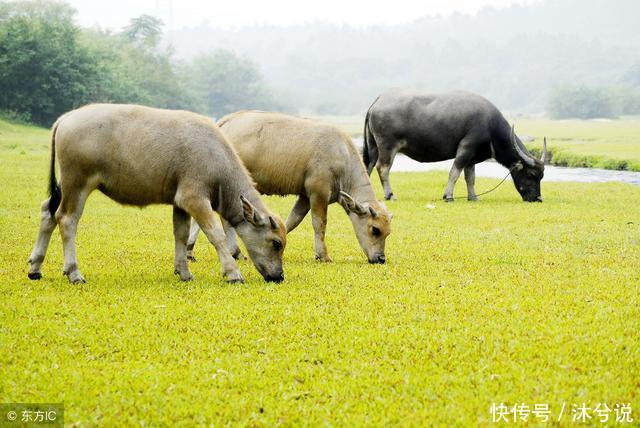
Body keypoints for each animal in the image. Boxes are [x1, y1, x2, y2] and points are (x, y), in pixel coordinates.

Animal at [27, 103, 286, 284]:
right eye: (276, 243)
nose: (279, 276)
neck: (216, 157)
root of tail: (66, 118)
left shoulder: (180, 203)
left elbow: (180, 234)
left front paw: (184, 272)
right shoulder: (194, 199)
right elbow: (216, 235)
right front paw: (233, 273)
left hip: (65, 185)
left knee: (48, 212)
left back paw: (35, 268)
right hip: (77, 183)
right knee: (67, 220)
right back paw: (74, 273)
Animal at [188, 110, 392, 264]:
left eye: (388, 233)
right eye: (375, 230)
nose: (381, 258)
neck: (341, 155)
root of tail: (225, 122)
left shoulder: (305, 197)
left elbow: (292, 221)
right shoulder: (318, 193)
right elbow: (319, 223)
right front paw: (323, 255)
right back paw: (229, 251)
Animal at [362, 90, 548, 202]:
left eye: (541, 176)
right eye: (532, 174)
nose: (538, 199)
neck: (490, 126)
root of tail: (377, 101)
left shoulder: (472, 158)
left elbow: (470, 177)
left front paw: (473, 197)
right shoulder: (466, 148)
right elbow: (455, 172)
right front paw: (448, 196)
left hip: (373, 147)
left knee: (367, 166)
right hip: (387, 147)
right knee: (383, 168)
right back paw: (390, 195)